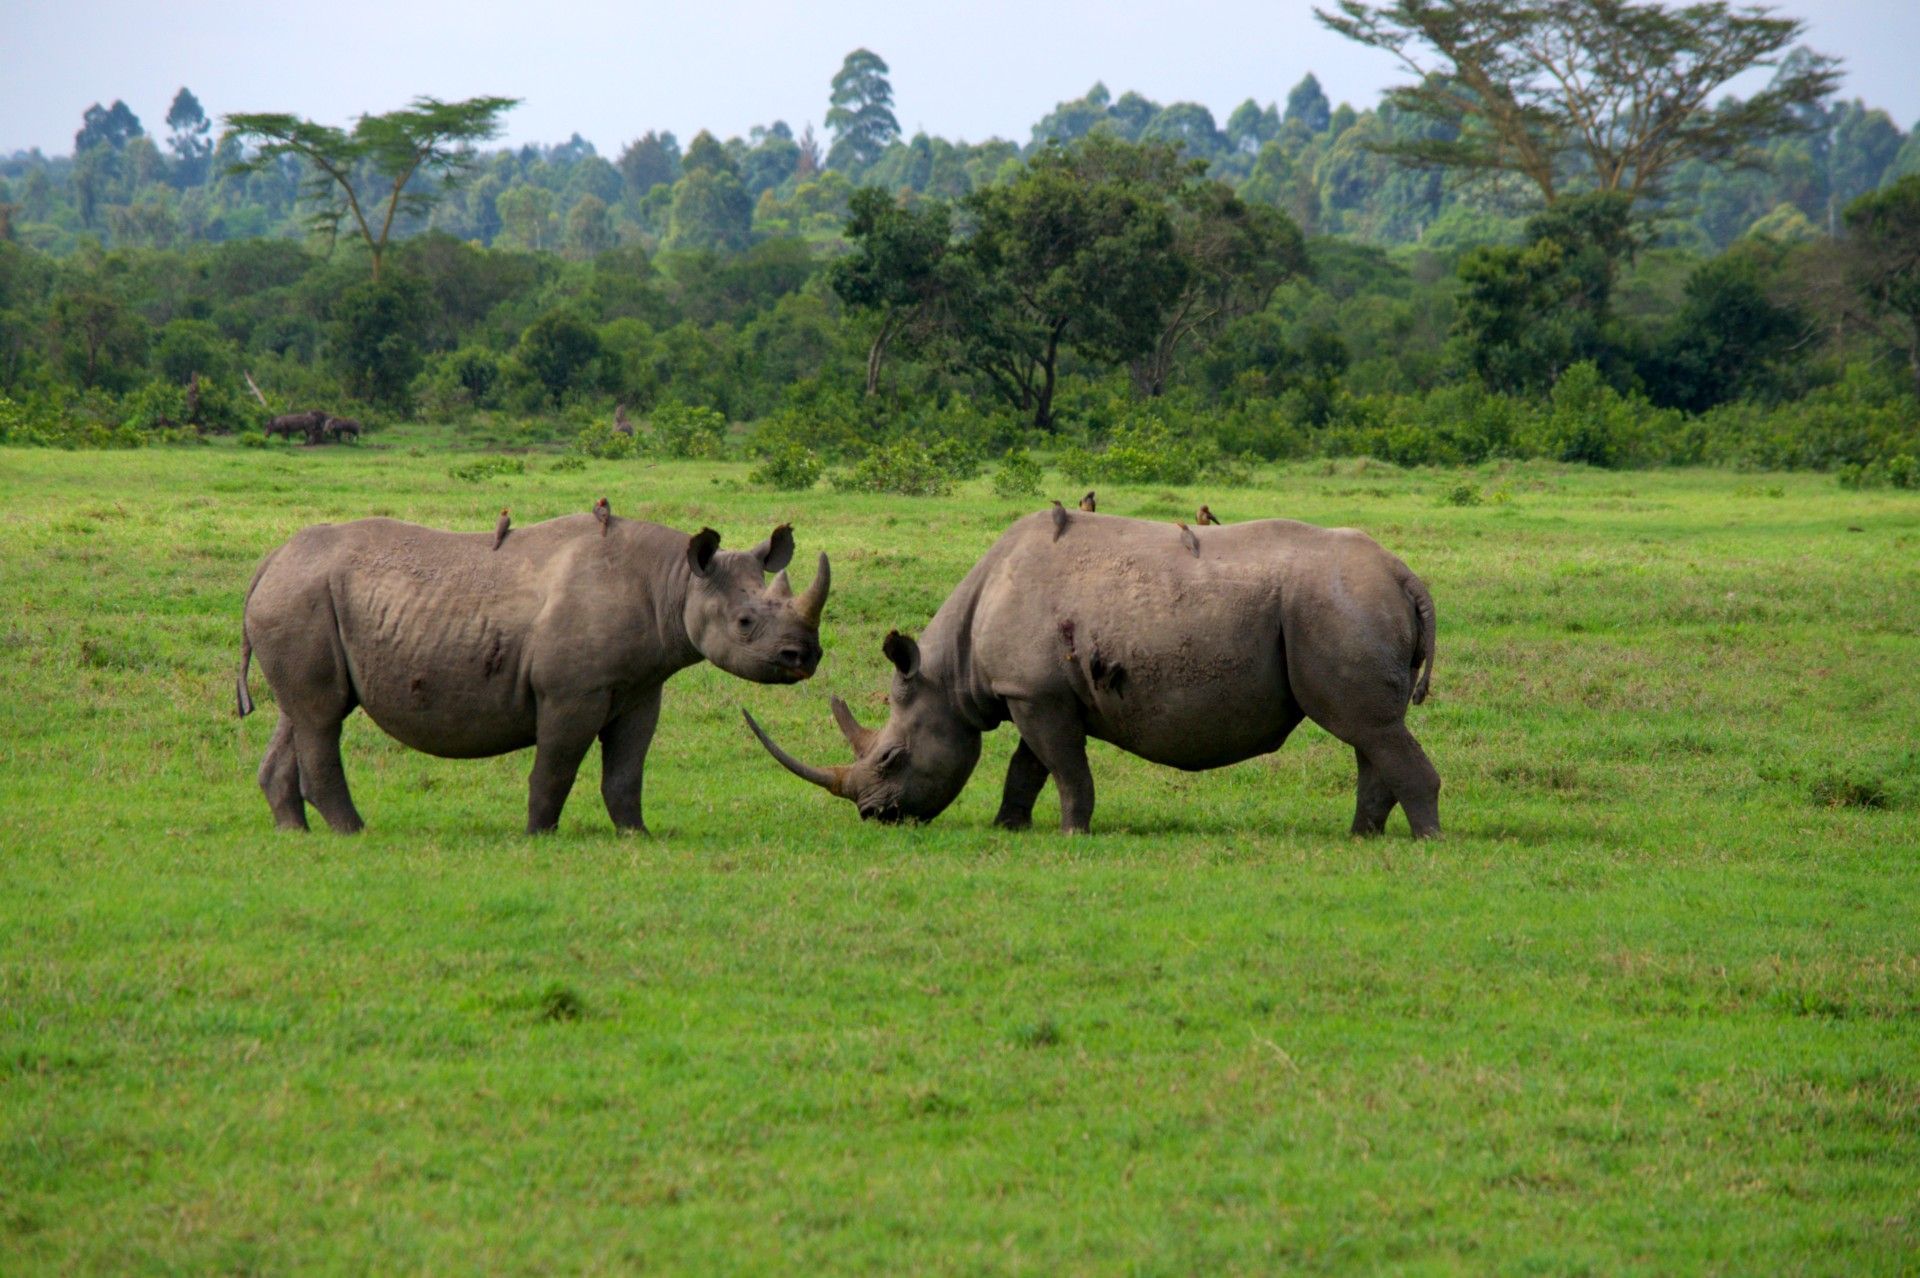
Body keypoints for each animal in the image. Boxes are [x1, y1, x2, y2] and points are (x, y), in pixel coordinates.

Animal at [238, 515, 829, 834]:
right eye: (746, 623)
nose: (805, 658)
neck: (676, 582)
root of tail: (269, 561)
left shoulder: (642, 688)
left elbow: (627, 769)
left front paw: (637, 834)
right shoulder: (572, 692)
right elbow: (555, 767)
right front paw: (538, 834)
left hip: (300, 596)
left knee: (304, 712)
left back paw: (296, 832)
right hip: (301, 595)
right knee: (320, 717)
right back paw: (355, 833)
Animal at [746, 509, 1440, 837]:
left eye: (892, 758)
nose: (874, 816)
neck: (951, 670)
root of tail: (1406, 574)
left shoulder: (1038, 695)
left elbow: (1065, 767)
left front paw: (1072, 832)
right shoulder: (1031, 690)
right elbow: (1027, 767)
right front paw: (1008, 827)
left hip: (1337, 604)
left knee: (1367, 728)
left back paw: (1425, 840)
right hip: (1345, 605)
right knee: (1369, 731)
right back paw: (1362, 837)